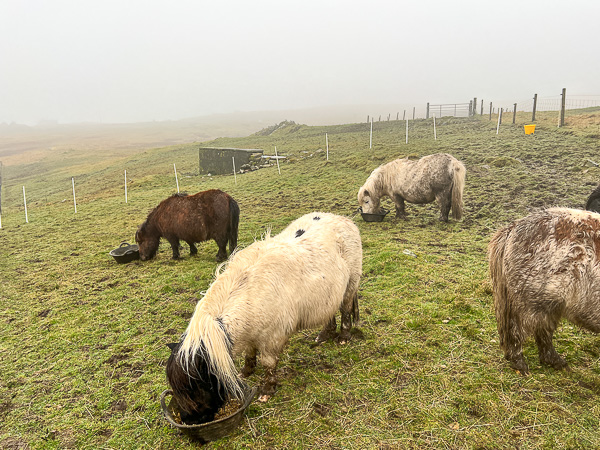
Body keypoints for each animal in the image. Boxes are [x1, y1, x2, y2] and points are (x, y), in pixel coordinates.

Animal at [165, 213, 360, 424]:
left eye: (197, 386)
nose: (188, 420)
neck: (250, 295)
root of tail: (343, 219)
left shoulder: (272, 339)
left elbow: (269, 363)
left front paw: (267, 390)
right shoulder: (251, 334)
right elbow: (250, 353)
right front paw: (246, 372)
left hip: (350, 286)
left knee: (346, 309)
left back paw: (343, 337)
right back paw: (325, 335)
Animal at [490, 209, 600, 374]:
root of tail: (513, 228)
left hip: (549, 305)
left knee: (543, 332)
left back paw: (556, 362)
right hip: (530, 303)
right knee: (517, 330)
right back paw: (520, 365)